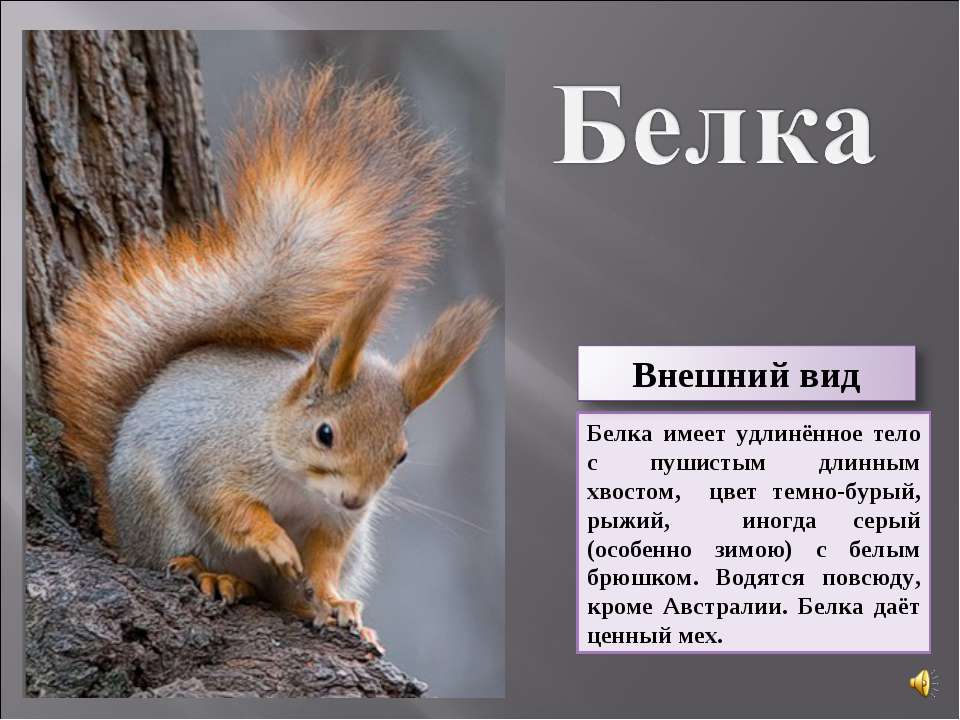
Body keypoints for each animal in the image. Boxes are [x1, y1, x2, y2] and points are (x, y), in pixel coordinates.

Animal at [46, 65, 495, 647]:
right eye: (325, 434)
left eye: (400, 456)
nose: (356, 501)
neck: (299, 482)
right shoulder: (212, 459)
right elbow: (229, 506)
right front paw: (273, 540)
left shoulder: (336, 526)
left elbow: (323, 560)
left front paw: (331, 597)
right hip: (153, 510)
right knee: (175, 554)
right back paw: (211, 573)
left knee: (284, 595)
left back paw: (321, 607)